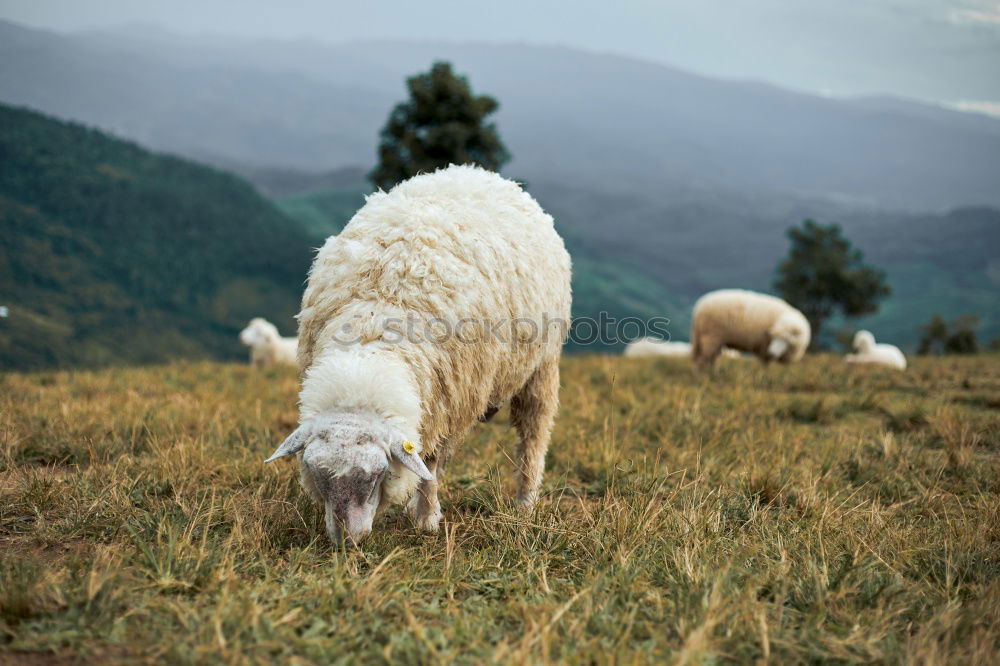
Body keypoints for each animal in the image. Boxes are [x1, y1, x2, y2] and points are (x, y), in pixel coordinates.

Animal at [262, 166, 576, 544]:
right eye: (316, 474)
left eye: (375, 475)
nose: (347, 542)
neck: (369, 344)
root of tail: (475, 171)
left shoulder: (446, 400)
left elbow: (430, 460)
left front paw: (426, 519)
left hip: (540, 368)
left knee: (532, 437)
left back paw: (525, 503)